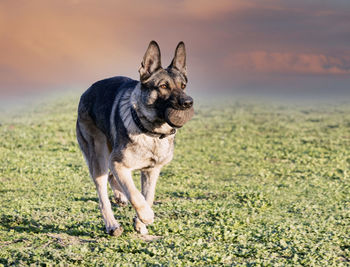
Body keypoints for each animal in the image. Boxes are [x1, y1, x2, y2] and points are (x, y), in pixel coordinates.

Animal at [75, 40, 194, 237]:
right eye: (163, 86)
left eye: (183, 85)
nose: (188, 103)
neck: (151, 132)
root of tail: (87, 91)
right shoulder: (119, 164)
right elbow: (136, 194)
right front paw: (146, 215)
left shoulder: (152, 171)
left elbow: (149, 196)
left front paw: (139, 223)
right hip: (99, 157)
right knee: (103, 196)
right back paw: (112, 224)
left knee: (111, 178)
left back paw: (120, 197)